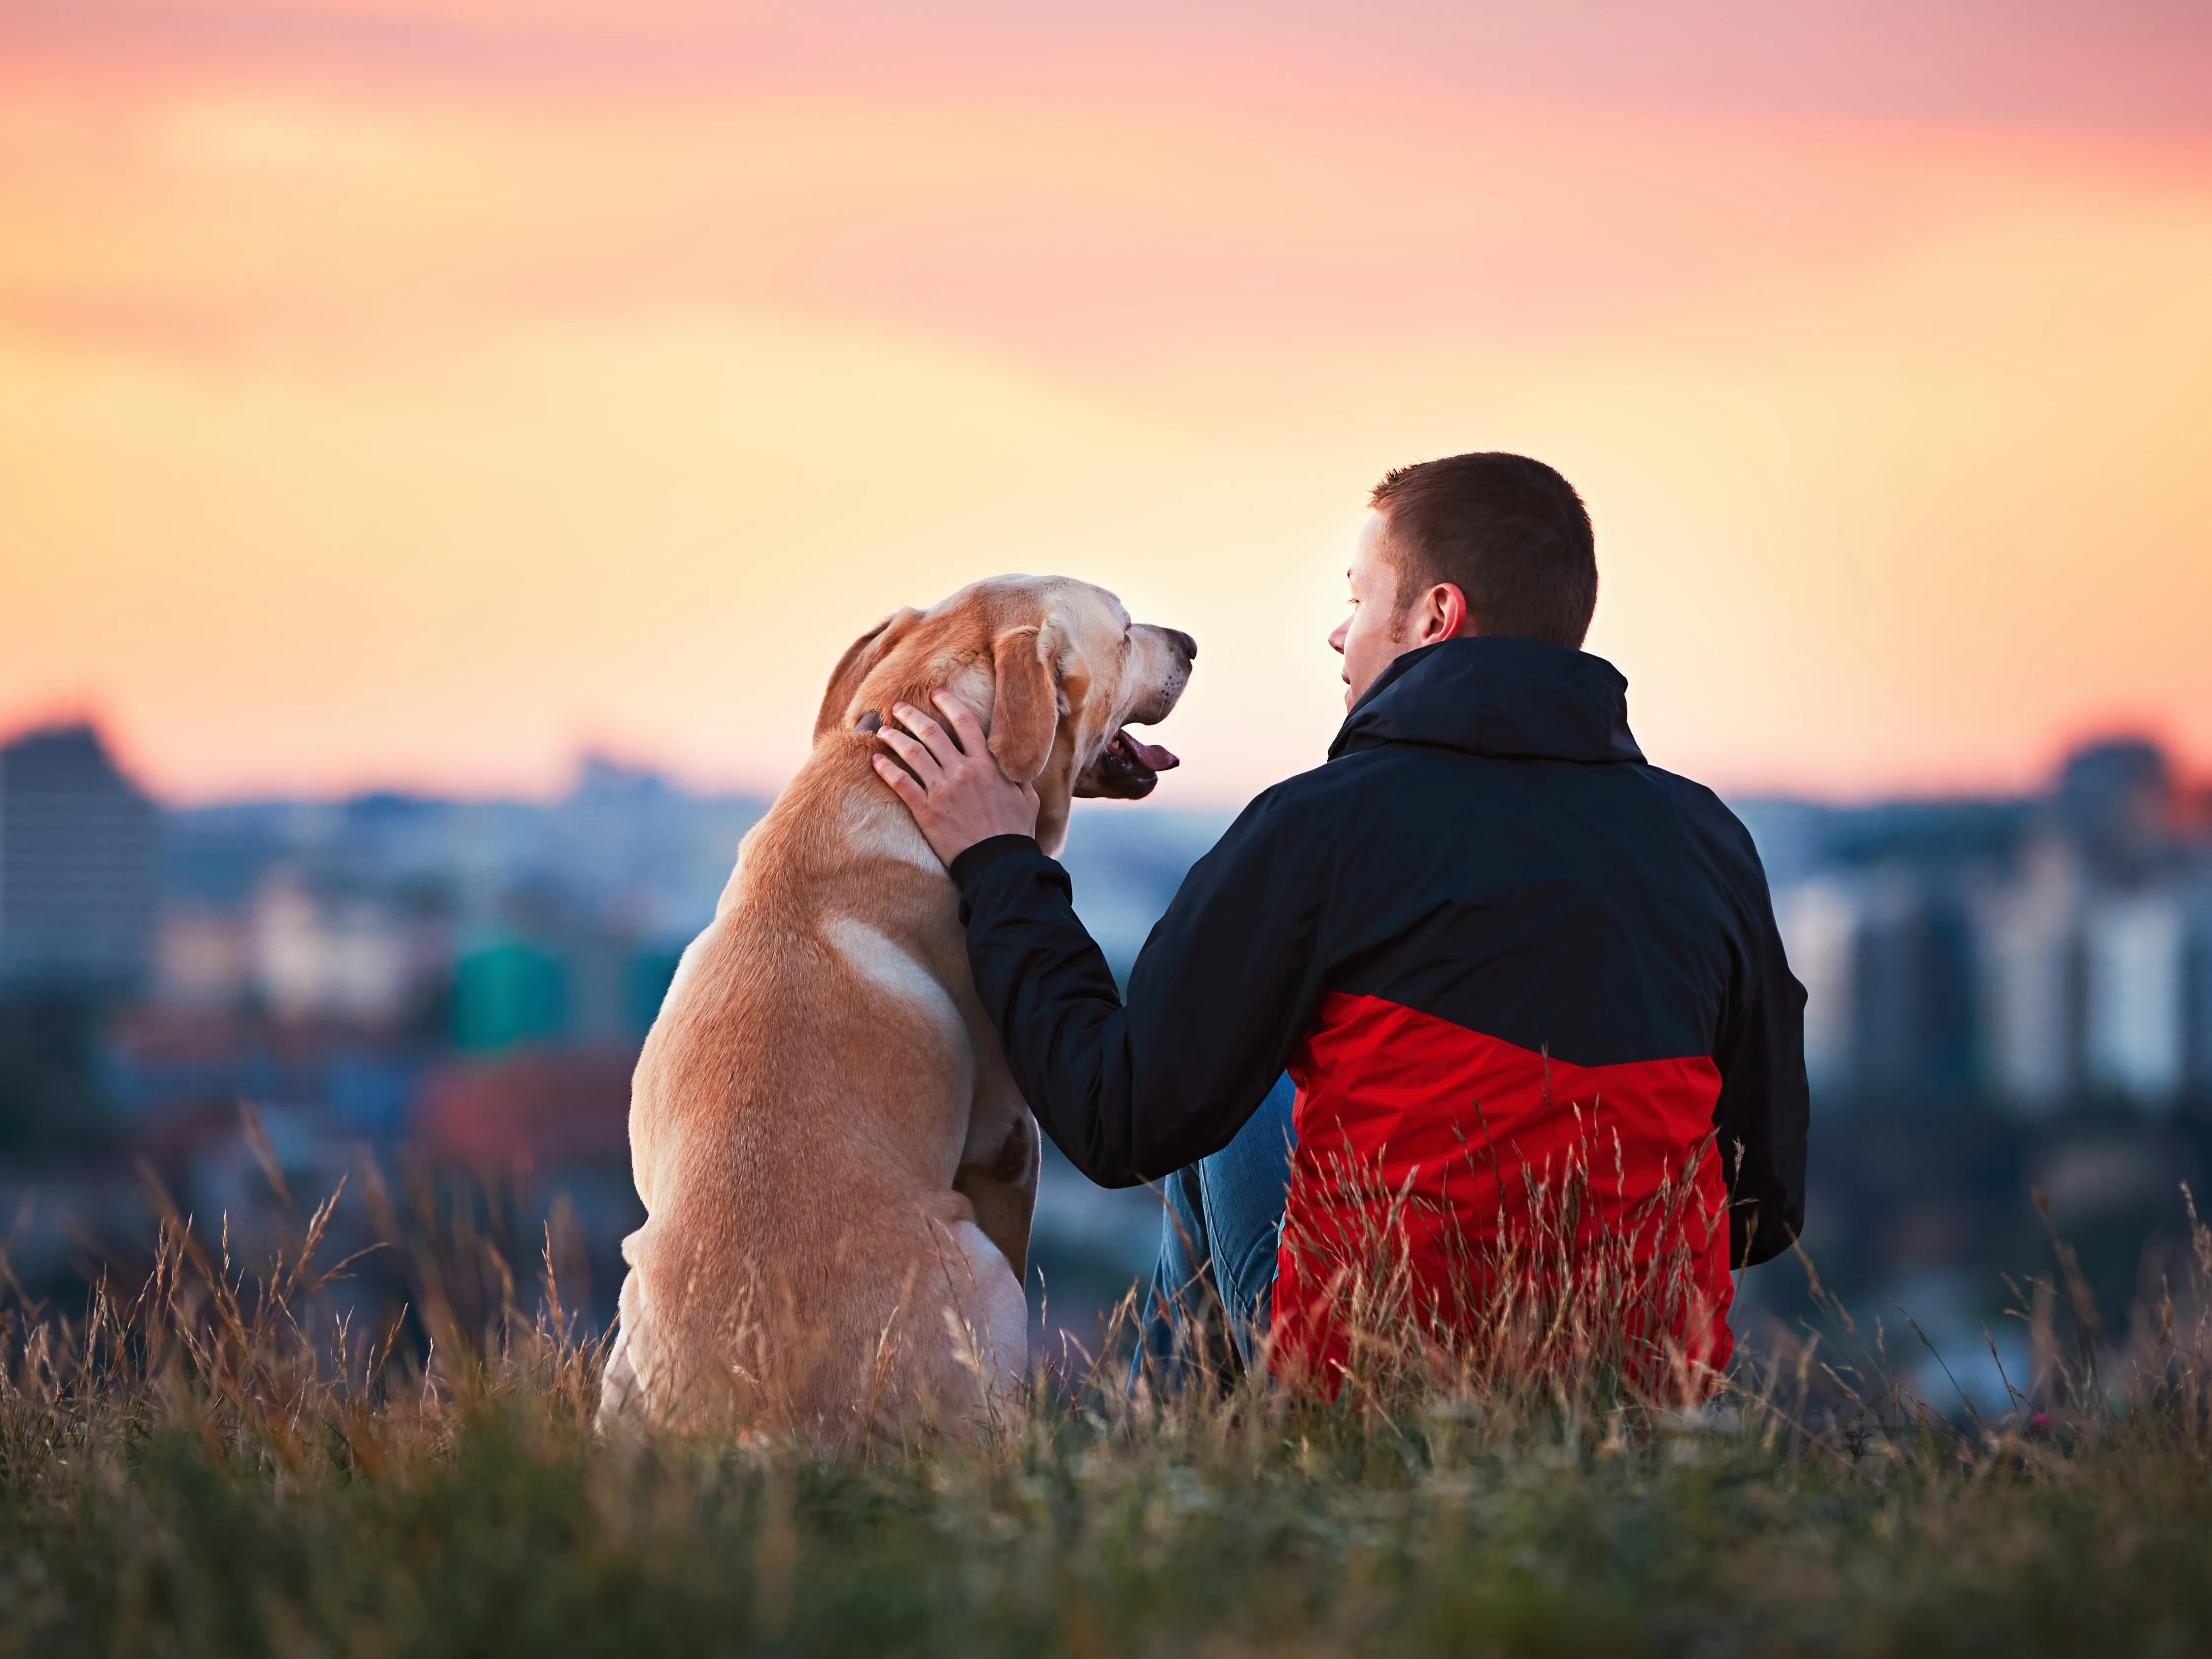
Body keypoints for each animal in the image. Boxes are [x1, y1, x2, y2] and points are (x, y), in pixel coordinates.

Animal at [597, 579, 1194, 1451]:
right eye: (1122, 633)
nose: (1190, 642)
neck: (883, 772)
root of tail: (766, 1422)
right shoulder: (1009, 1140)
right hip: (982, 1274)